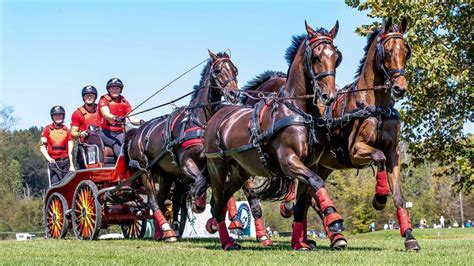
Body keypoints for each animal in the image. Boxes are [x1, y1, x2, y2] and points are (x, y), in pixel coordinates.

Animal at [125, 50, 241, 243]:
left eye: (235, 70)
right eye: (217, 71)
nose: (233, 94)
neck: (200, 121)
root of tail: (138, 131)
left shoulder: (212, 163)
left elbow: (216, 186)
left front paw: (228, 220)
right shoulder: (186, 162)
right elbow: (201, 180)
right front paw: (199, 204)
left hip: (165, 175)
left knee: (161, 199)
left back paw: (162, 233)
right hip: (145, 170)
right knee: (153, 201)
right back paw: (167, 230)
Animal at [203, 21, 340, 251]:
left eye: (336, 56)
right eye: (315, 56)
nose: (328, 95)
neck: (297, 110)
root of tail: (216, 116)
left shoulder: (308, 165)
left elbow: (302, 204)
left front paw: (299, 242)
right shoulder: (289, 161)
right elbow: (317, 181)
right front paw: (334, 219)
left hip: (240, 172)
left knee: (220, 201)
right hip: (218, 169)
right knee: (218, 205)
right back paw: (227, 242)